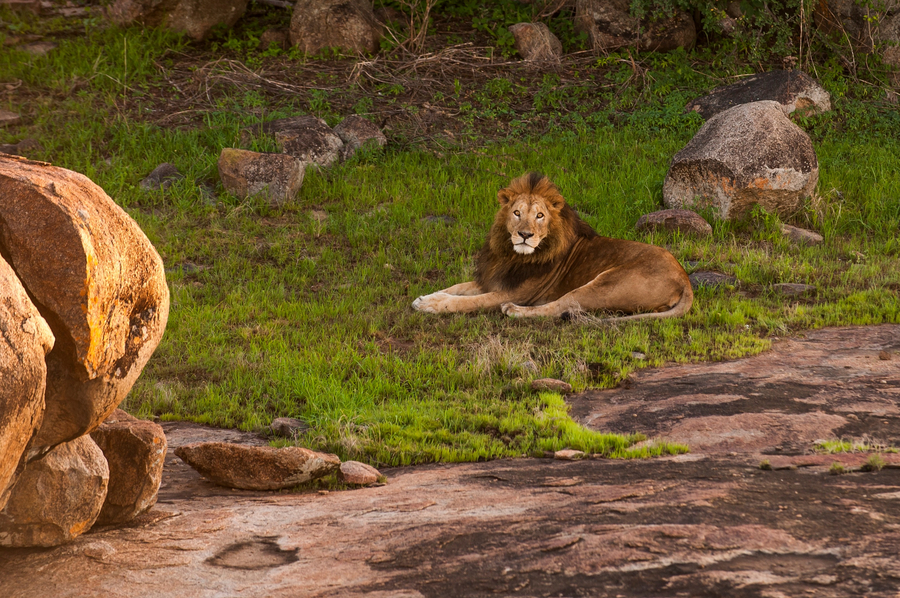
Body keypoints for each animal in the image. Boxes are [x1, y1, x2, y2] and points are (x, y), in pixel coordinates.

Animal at [412, 172, 693, 322]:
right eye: (516, 212)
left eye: (539, 216)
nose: (525, 235)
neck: (511, 256)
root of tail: (685, 279)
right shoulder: (493, 279)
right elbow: (456, 288)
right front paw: (427, 297)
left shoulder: (513, 291)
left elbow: (466, 302)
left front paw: (430, 306)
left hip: (605, 285)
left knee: (561, 306)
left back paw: (514, 311)